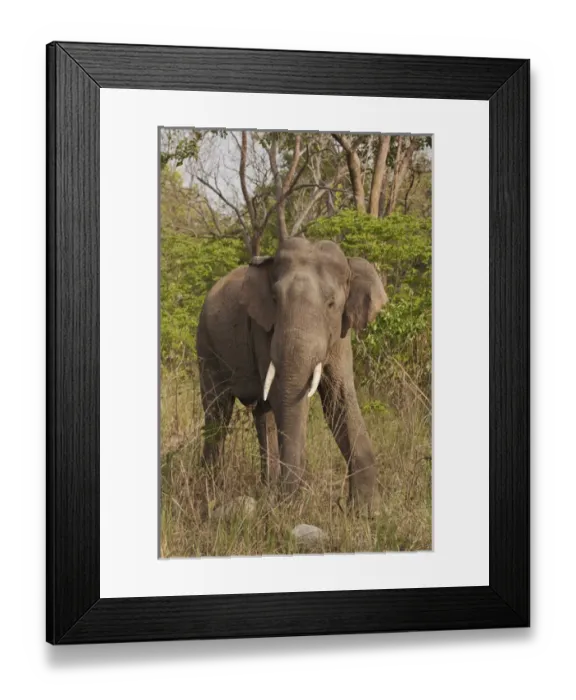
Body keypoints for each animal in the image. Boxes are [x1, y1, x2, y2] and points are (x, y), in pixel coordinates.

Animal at [196, 237, 388, 510]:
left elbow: (339, 399)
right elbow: (282, 395)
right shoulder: (263, 328)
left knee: (261, 414)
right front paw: (290, 504)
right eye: (275, 299)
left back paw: (266, 486)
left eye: (332, 304)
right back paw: (211, 490)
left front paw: (368, 512)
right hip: (206, 345)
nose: (288, 500)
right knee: (217, 411)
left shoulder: (340, 333)